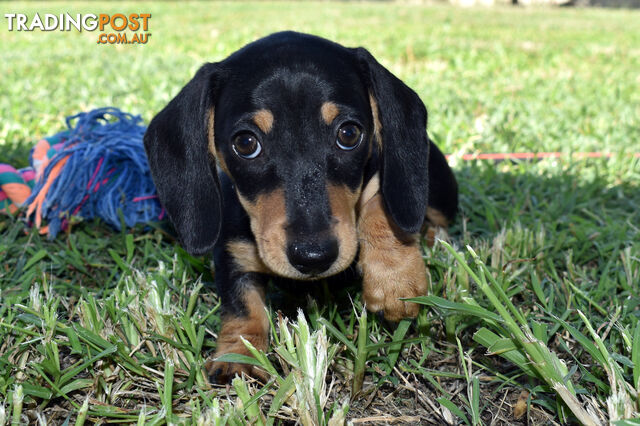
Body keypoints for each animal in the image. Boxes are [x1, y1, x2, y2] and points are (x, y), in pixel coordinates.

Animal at [143, 30, 458, 382]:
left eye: (349, 133)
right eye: (245, 143)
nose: (313, 257)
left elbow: (380, 203)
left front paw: (394, 279)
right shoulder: (231, 253)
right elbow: (242, 304)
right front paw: (239, 354)